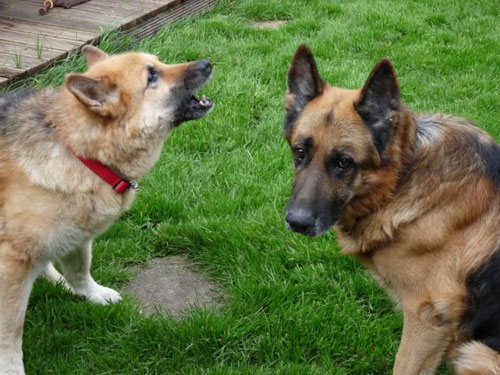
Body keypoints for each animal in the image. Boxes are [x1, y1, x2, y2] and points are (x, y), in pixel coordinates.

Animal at [0, 44, 213, 374]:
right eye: (152, 76)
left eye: (159, 62)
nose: (207, 63)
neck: (79, 150)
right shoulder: (11, 263)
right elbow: (11, 331)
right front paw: (10, 368)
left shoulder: (77, 236)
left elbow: (80, 271)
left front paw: (92, 294)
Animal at [286, 44, 500, 375]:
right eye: (300, 152)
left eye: (344, 162)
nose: (296, 222)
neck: (403, 178)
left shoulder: (425, 321)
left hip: (476, 353)